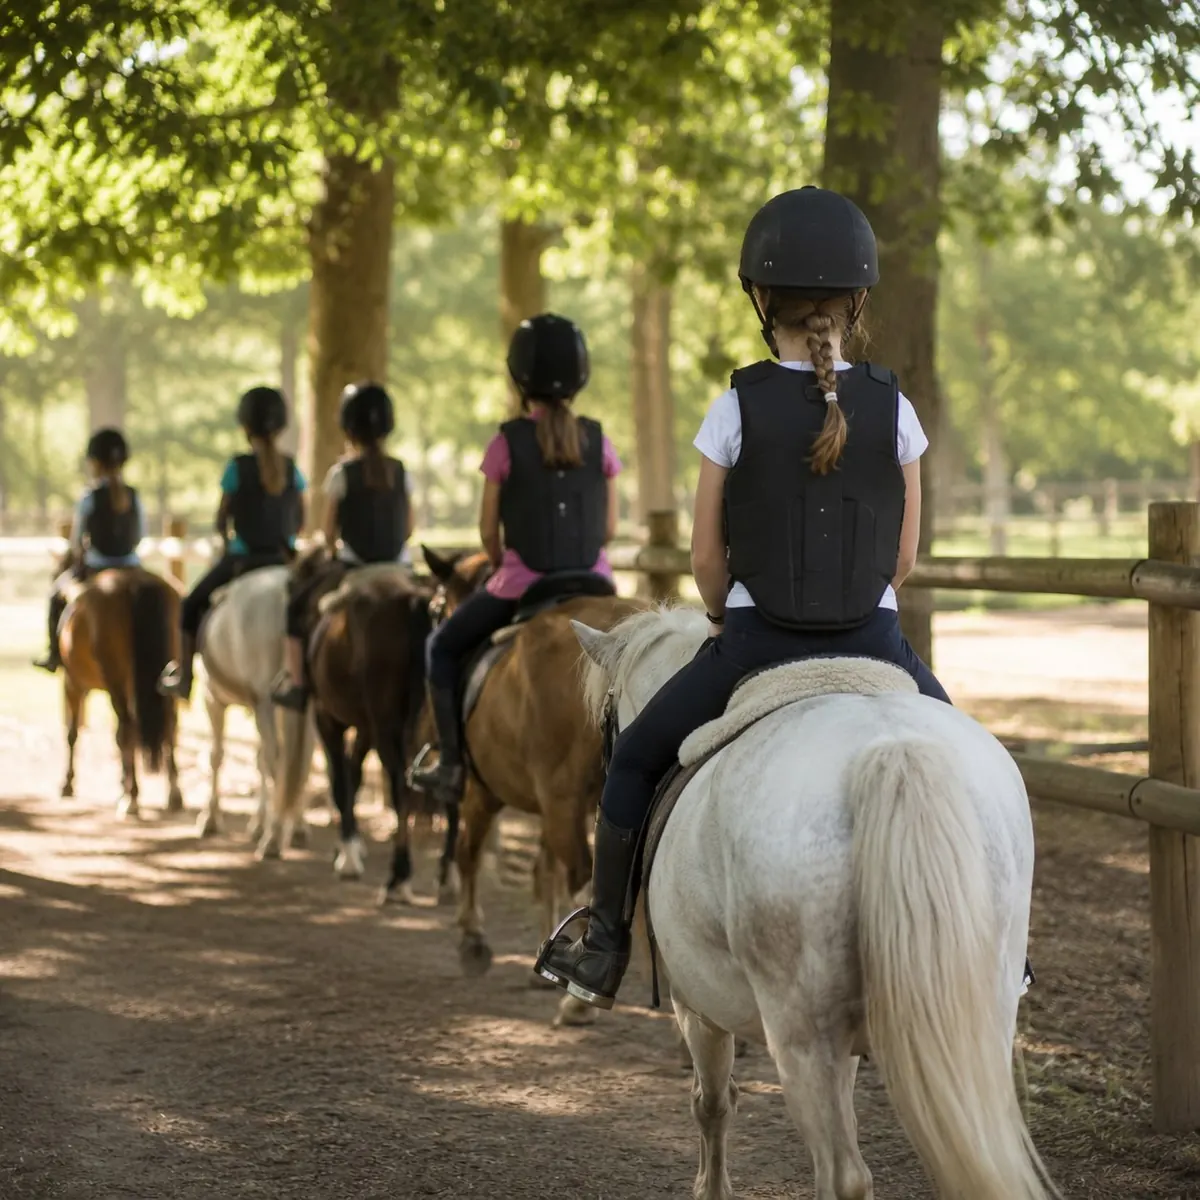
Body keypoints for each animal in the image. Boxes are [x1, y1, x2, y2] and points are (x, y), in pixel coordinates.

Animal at [58, 566, 183, 820]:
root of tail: (135, 582)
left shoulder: (72, 683)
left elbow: (72, 733)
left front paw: (67, 783)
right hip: (168, 673)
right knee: (169, 726)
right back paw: (173, 794)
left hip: (115, 681)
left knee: (128, 728)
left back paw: (131, 798)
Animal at [196, 565, 316, 858]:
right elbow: (259, 758)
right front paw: (259, 823)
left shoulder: (212, 698)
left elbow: (216, 756)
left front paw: (210, 818)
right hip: (298, 707)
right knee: (300, 761)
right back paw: (294, 827)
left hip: (266, 703)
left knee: (278, 762)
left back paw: (273, 840)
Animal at [306, 562, 447, 903]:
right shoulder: (365, 726)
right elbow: (353, 774)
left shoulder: (328, 717)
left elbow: (342, 780)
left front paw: (348, 854)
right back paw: (447, 878)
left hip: (384, 727)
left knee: (400, 785)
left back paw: (399, 875)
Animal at [420, 548, 646, 1027]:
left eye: (435, 610)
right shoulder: (555, 805)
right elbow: (545, 874)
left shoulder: (485, 793)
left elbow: (469, 853)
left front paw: (472, 938)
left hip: (554, 801)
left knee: (586, 877)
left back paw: (579, 1001)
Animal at [570, 608, 1056, 1200]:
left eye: (607, 722)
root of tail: (892, 750)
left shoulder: (696, 1003)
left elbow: (713, 1103)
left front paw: (712, 1189)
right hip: (973, 1018)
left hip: (800, 1034)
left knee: (841, 1175)